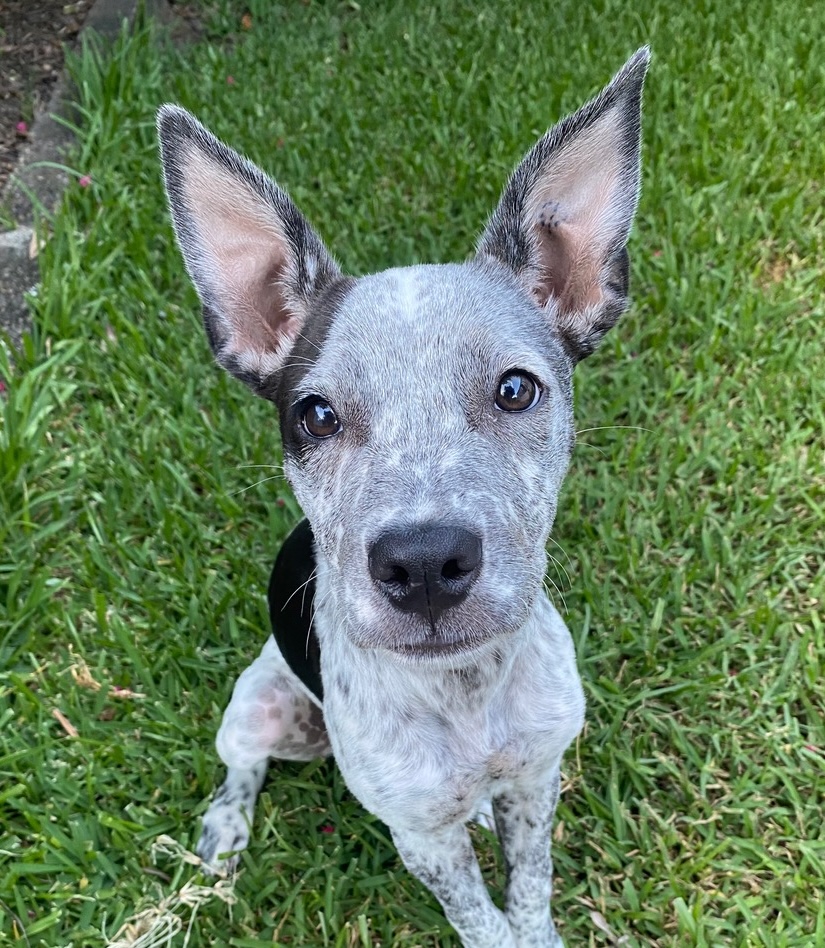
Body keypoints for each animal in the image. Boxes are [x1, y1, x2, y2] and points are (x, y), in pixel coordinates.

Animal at [158, 47, 649, 948]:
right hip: (256, 705)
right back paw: (222, 833)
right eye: (314, 415)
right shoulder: (421, 838)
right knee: (240, 768)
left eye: (516, 390)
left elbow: (528, 890)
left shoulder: (537, 782)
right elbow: (481, 920)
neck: (466, 694)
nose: (422, 564)